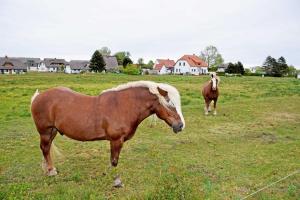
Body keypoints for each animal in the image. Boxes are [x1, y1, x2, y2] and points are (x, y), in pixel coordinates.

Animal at [31, 80, 185, 187]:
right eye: (170, 103)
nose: (180, 126)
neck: (123, 106)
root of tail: (38, 97)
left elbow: (114, 160)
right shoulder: (116, 140)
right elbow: (114, 161)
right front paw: (114, 179)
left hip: (52, 131)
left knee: (47, 149)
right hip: (45, 131)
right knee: (45, 149)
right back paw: (51, 171)